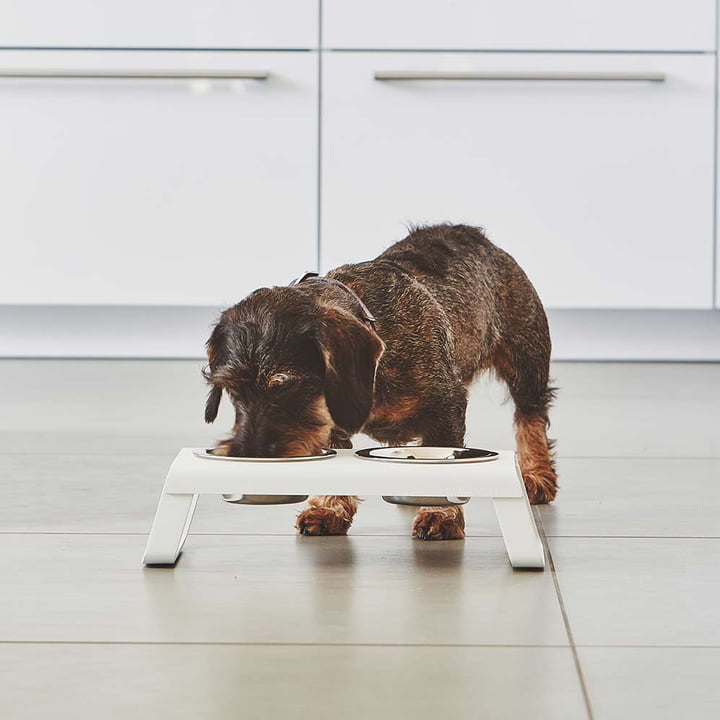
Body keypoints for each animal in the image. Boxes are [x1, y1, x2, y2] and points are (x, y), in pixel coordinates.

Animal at [202, 225, 556, 540]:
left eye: (286, 385)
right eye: (234, 391)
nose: (249, 458)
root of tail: (471, 233)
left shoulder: (447, 405)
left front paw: (440, 516)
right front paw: (328, 508)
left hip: (527, 363)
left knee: (530, 417)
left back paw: (536, 475)